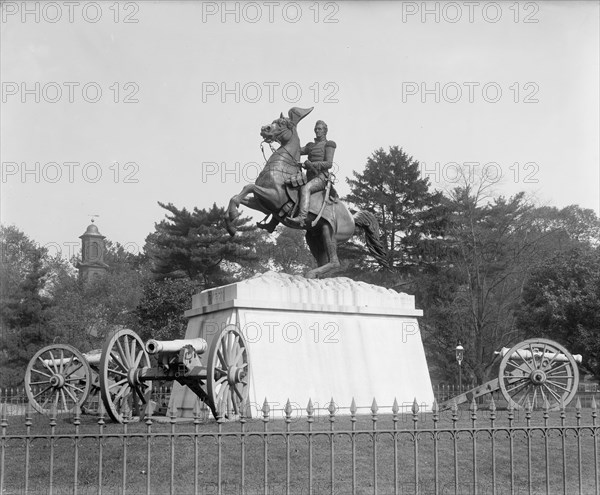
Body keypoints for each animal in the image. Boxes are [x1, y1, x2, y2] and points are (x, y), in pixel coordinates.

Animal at [226, 107, 390, 280]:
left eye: (282, 123)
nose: (265, 129)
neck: (281, 167)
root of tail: (353, 218)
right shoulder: (262, 204)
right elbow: (236, 197)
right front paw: (230, 225)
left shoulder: (273, 198)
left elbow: (249, 187)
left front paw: (233, 217)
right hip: (313, 237)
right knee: (323, 260)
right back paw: (315, 275)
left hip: (329, 234)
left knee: (335, 262)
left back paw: (310, 273)